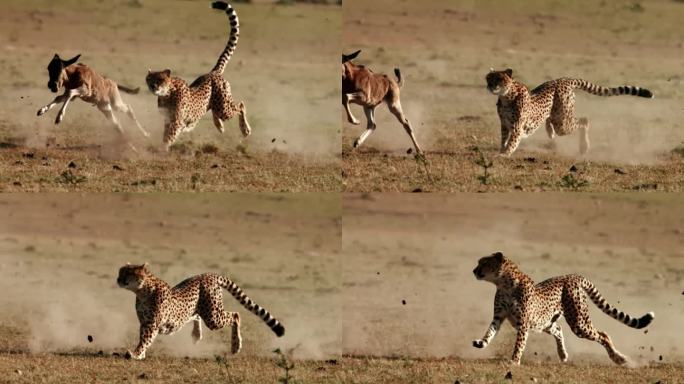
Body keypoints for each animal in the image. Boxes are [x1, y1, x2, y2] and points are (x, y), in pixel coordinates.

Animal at [117, 262, 284, 358]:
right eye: (120, 272)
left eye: (128, 273)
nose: (118, 279)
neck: (142, 290)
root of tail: (208, 274)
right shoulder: (145, 322)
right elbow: (144, 338)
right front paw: (141, 354)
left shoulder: (151, 324)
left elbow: (145, 339)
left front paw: (135, 353)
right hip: (201, 311)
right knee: (195, 316)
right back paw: (196, 334)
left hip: (213, 317)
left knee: (236, 315)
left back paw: (236, 345)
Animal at [147, 1, 251, 152]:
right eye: (149, 79)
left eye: (160, 79)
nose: (153, 86)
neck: (167, 94)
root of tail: (213, 72)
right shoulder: (168, 121)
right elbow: (166, 135)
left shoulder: (176, 122)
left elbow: (168, 137)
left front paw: (162, 149)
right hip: (216, 106)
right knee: (216, 112)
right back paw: (219, 126)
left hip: (223, 107)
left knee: (241, 106)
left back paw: (244, 129)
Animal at [472, 252, 656, 366]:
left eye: (484, 263)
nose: (474, 270)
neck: (504, 283)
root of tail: (572, 276)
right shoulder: (499, 316)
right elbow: (490, 332)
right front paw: (481, 343)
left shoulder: (523, 323)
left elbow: (519, 343)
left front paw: (514, 361)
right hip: (546, 322)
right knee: (559, 329)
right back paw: (563, 354)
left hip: (578, 322)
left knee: (603, 335)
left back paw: (619, 359)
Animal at [486, 68, 652, 156]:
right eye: (489, 78)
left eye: (499, 79)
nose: (490, 86)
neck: (507, 96)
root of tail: (563, 79)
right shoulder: (505, 125)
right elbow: (504, 139)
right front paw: (502, 150)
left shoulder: (516, 126)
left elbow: (512, 141)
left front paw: (504, 154)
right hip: (558, 118)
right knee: (550, 119)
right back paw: (550, 132)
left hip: (563, 123)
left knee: (584, 120)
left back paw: (584, 146)